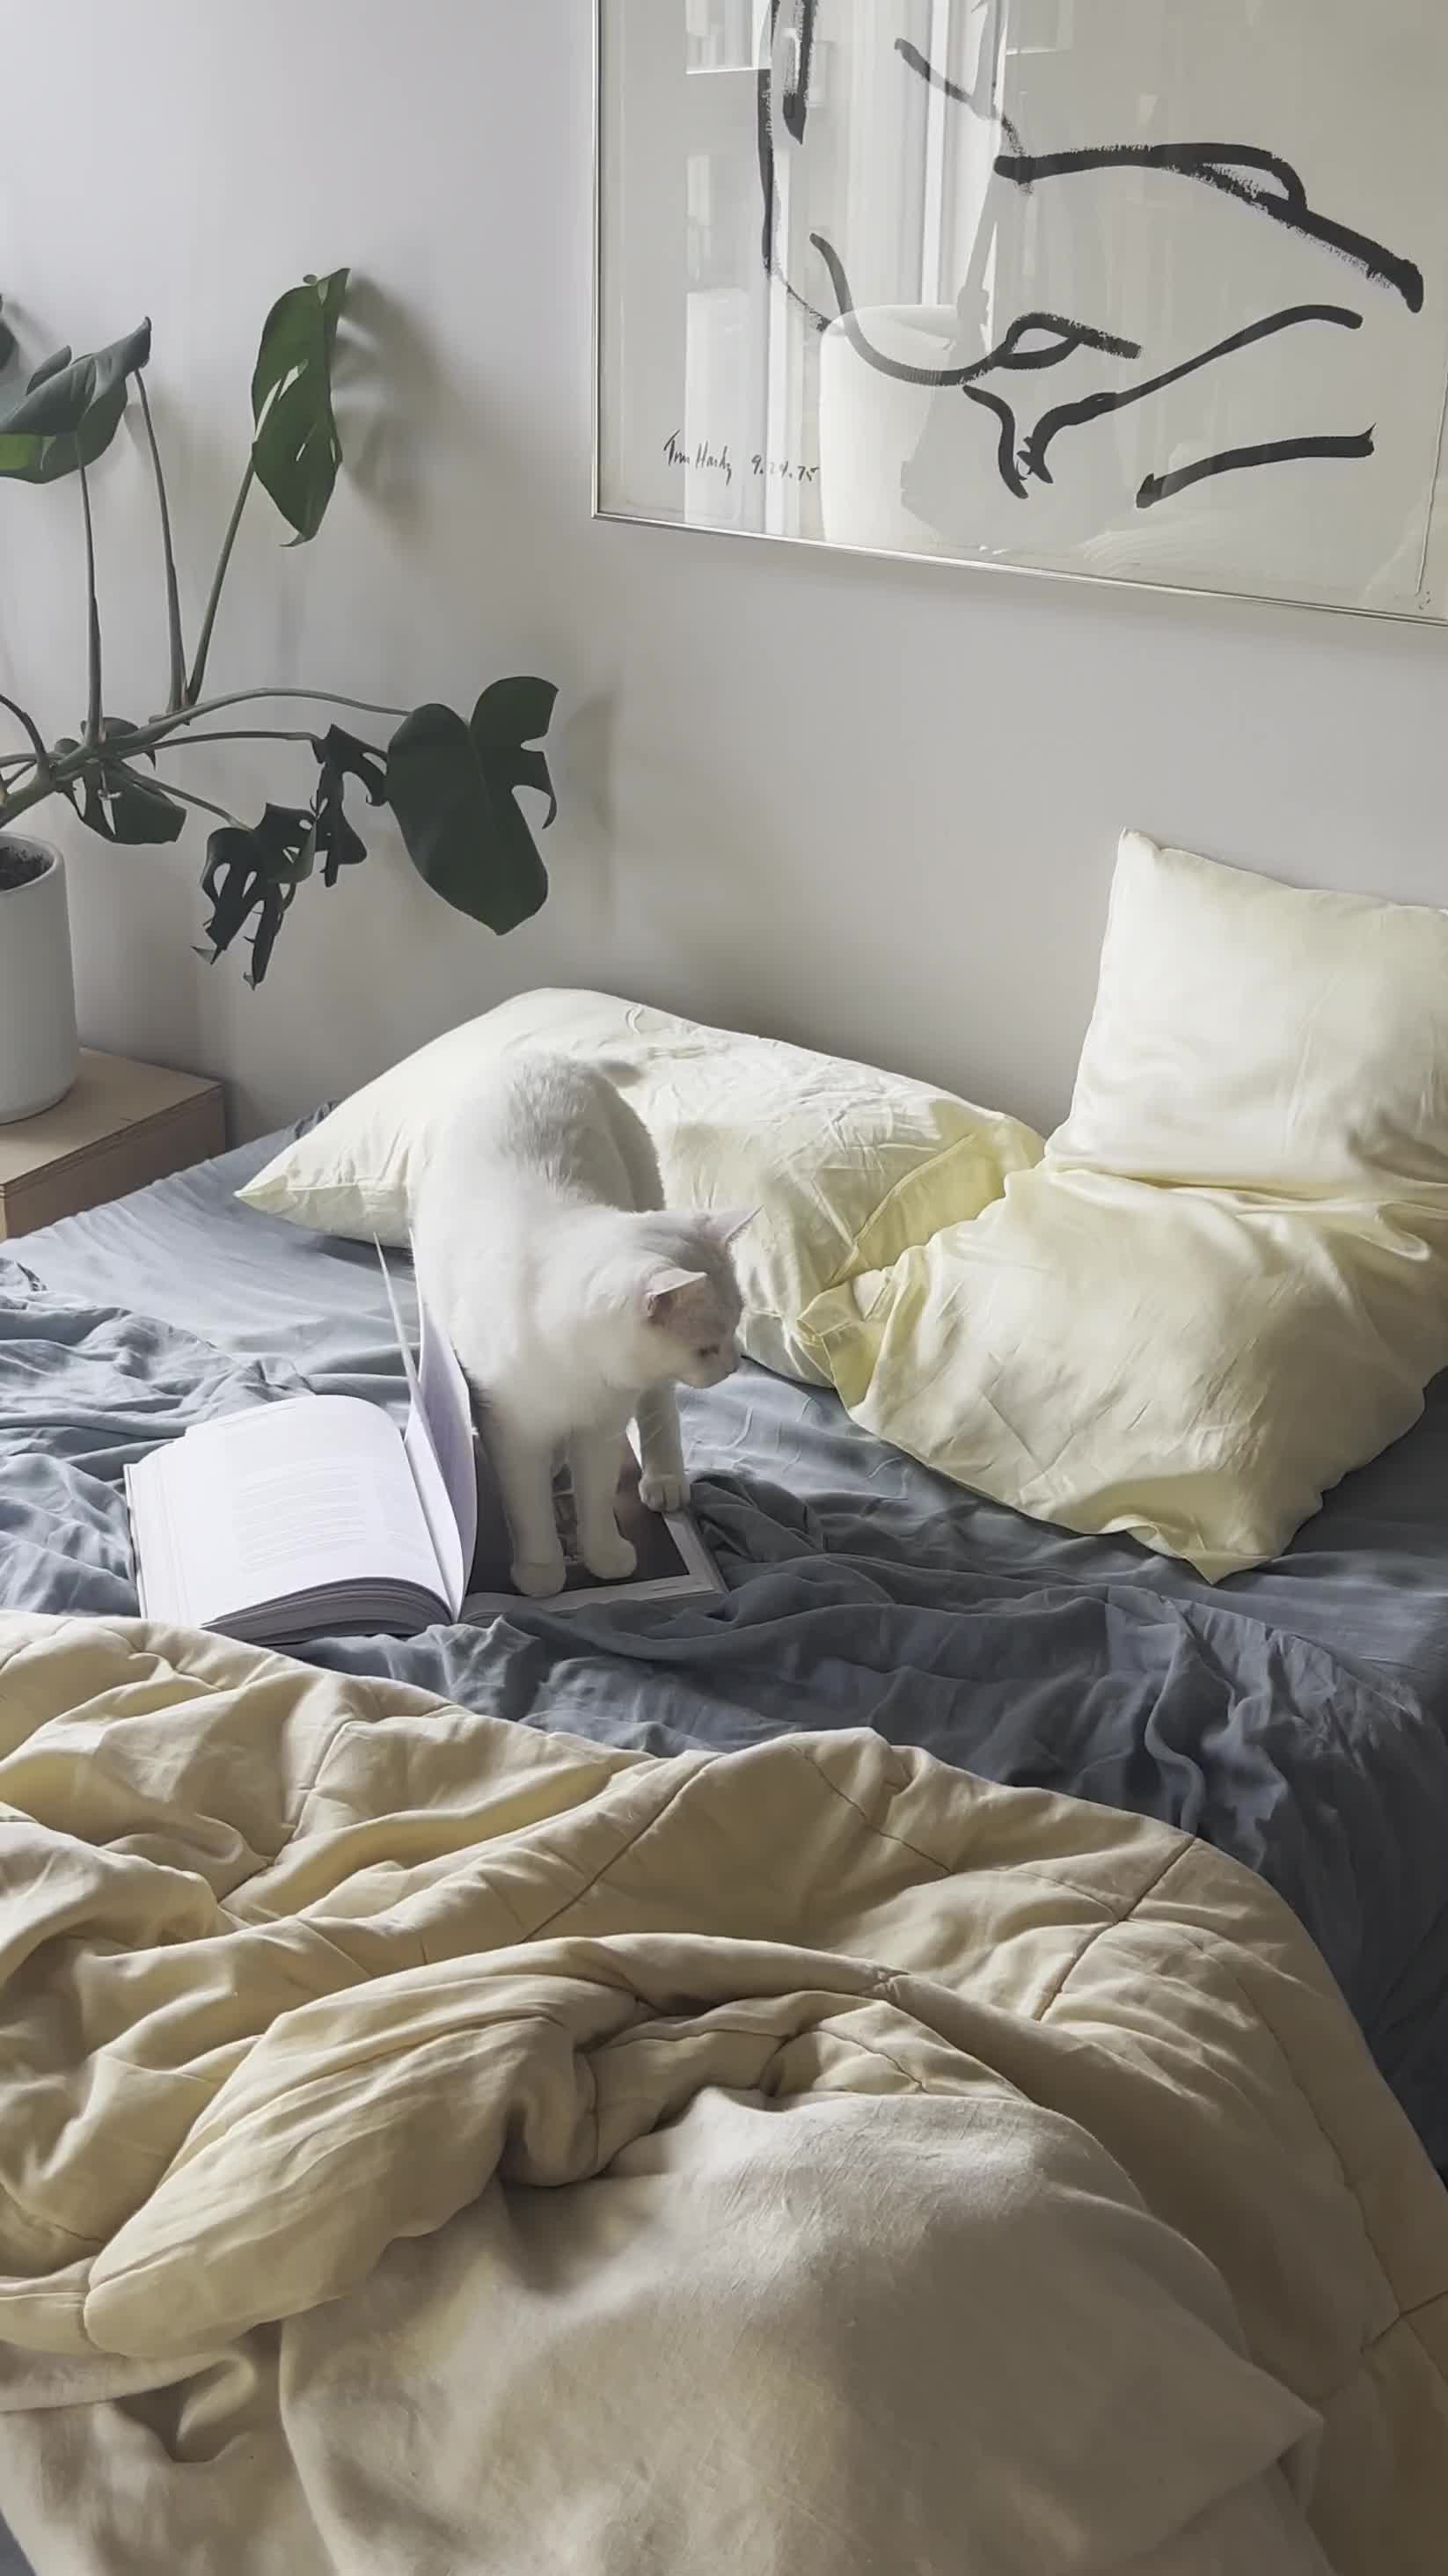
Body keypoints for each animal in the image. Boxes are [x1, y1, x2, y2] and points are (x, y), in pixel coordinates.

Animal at [406, 1056, 742, 1597]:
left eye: (735, 1332)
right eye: (707, 1348)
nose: (733, 1365)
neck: (581, 1374)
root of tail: (545, 1057)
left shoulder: (603, 1431)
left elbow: (596, 1500)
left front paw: (604, 1555)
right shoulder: (512, 1431)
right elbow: (529, 1510)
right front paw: (541, 1572)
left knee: (658, 1407)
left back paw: (663, 1479)